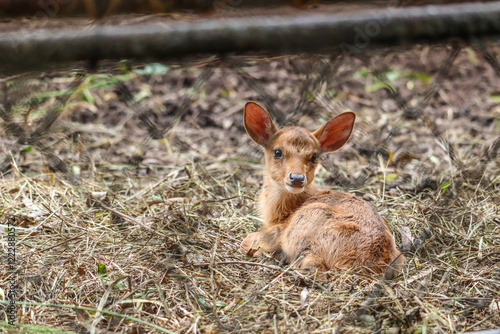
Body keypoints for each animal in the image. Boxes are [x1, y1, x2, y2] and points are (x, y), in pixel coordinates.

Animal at [238, 101, 406, 280]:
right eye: (277, 152)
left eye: (313, 156)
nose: (297, 178)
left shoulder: (280, 230)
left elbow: (247, 241)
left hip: (308, 222)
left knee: (314, 266)